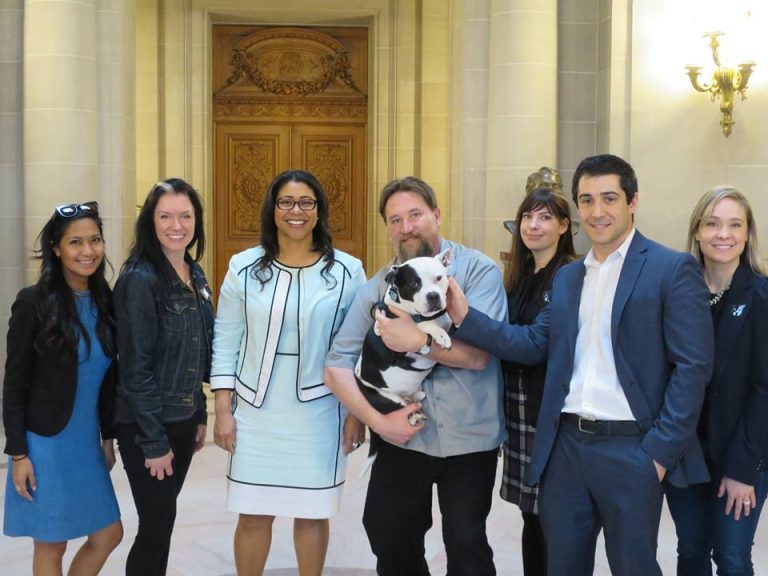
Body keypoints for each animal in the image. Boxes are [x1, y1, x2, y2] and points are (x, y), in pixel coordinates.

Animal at [354, 248, 453, 464]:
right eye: (414, 283)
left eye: (439, 278)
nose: (433, 296)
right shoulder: (396, 343)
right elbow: (420, 325)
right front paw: (438, 334)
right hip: (386, 398)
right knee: (399, 410)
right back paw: (414, 416)